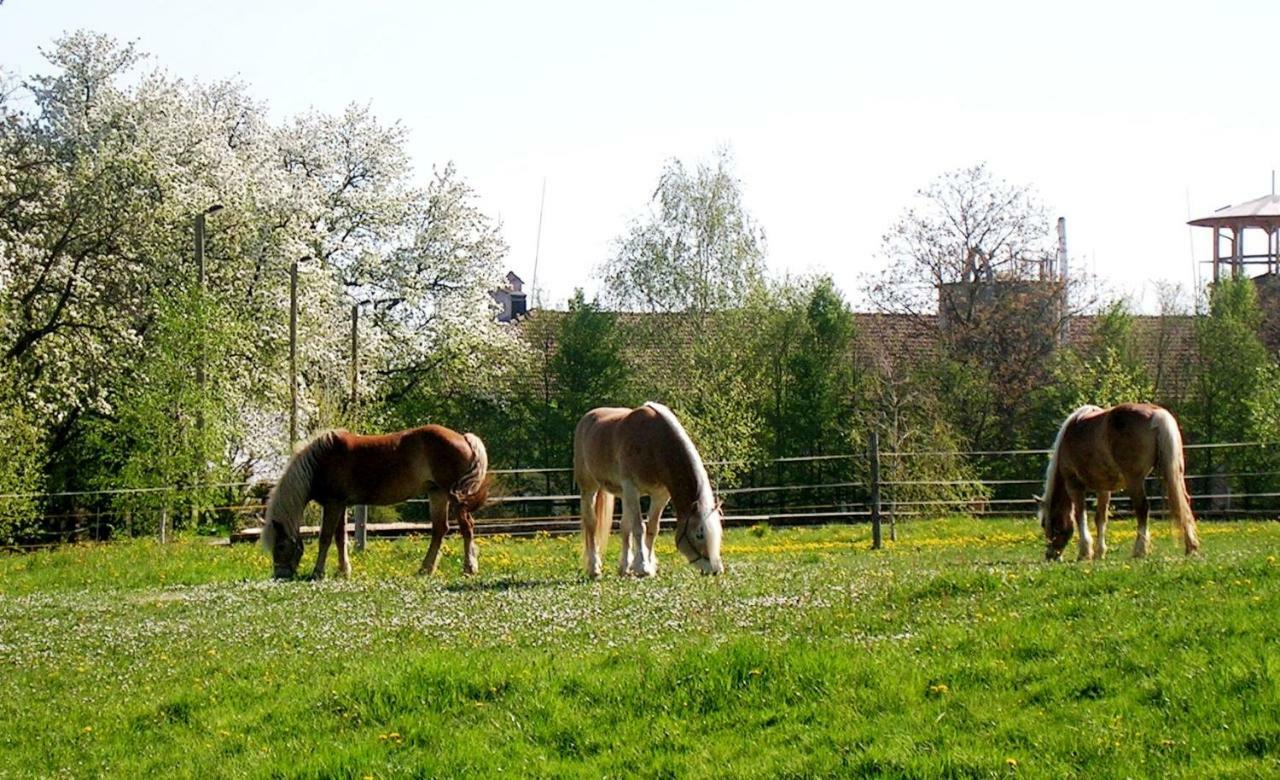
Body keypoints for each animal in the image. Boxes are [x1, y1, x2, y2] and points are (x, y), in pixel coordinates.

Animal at [257, 425, 486, 578]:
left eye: (280, 546)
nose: (280, 576)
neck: (320, 462)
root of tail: (464, 438)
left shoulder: (333, 504)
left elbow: (326, 538)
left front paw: (318, 572)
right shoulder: (340, 505)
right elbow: (340, 538)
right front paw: (343, 571)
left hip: (453, 496)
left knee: (466, 527)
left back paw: (469, 567)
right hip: (437, 494)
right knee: (440, 529)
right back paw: (425, 569)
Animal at [576, 404, 727, 573]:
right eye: (699, 534)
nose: (716, 570)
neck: (653, 443)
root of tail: (588, 418)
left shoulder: (660, 495)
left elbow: (652, 528)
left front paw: (647, 564)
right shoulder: (631, 488)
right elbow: (639, 527)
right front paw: (642, 566)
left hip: (623, 495)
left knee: (624, 526)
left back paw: (624, 568)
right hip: (589, 488)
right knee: (591, 524)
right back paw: (594, 568)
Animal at [1039, 404, 1198, 563]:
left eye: (1048, 524)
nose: (1050, 556)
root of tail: (1157, 414)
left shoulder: (1073, 485)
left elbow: (1080, 516)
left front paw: (1085, 553)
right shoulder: (1103, 488)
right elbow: (1100, 518)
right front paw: (1099, 552)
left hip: (1134, 480)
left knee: (1142, 508)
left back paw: (1139, 551)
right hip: (1174, 474)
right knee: (1184, 504)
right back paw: (1191, 548)